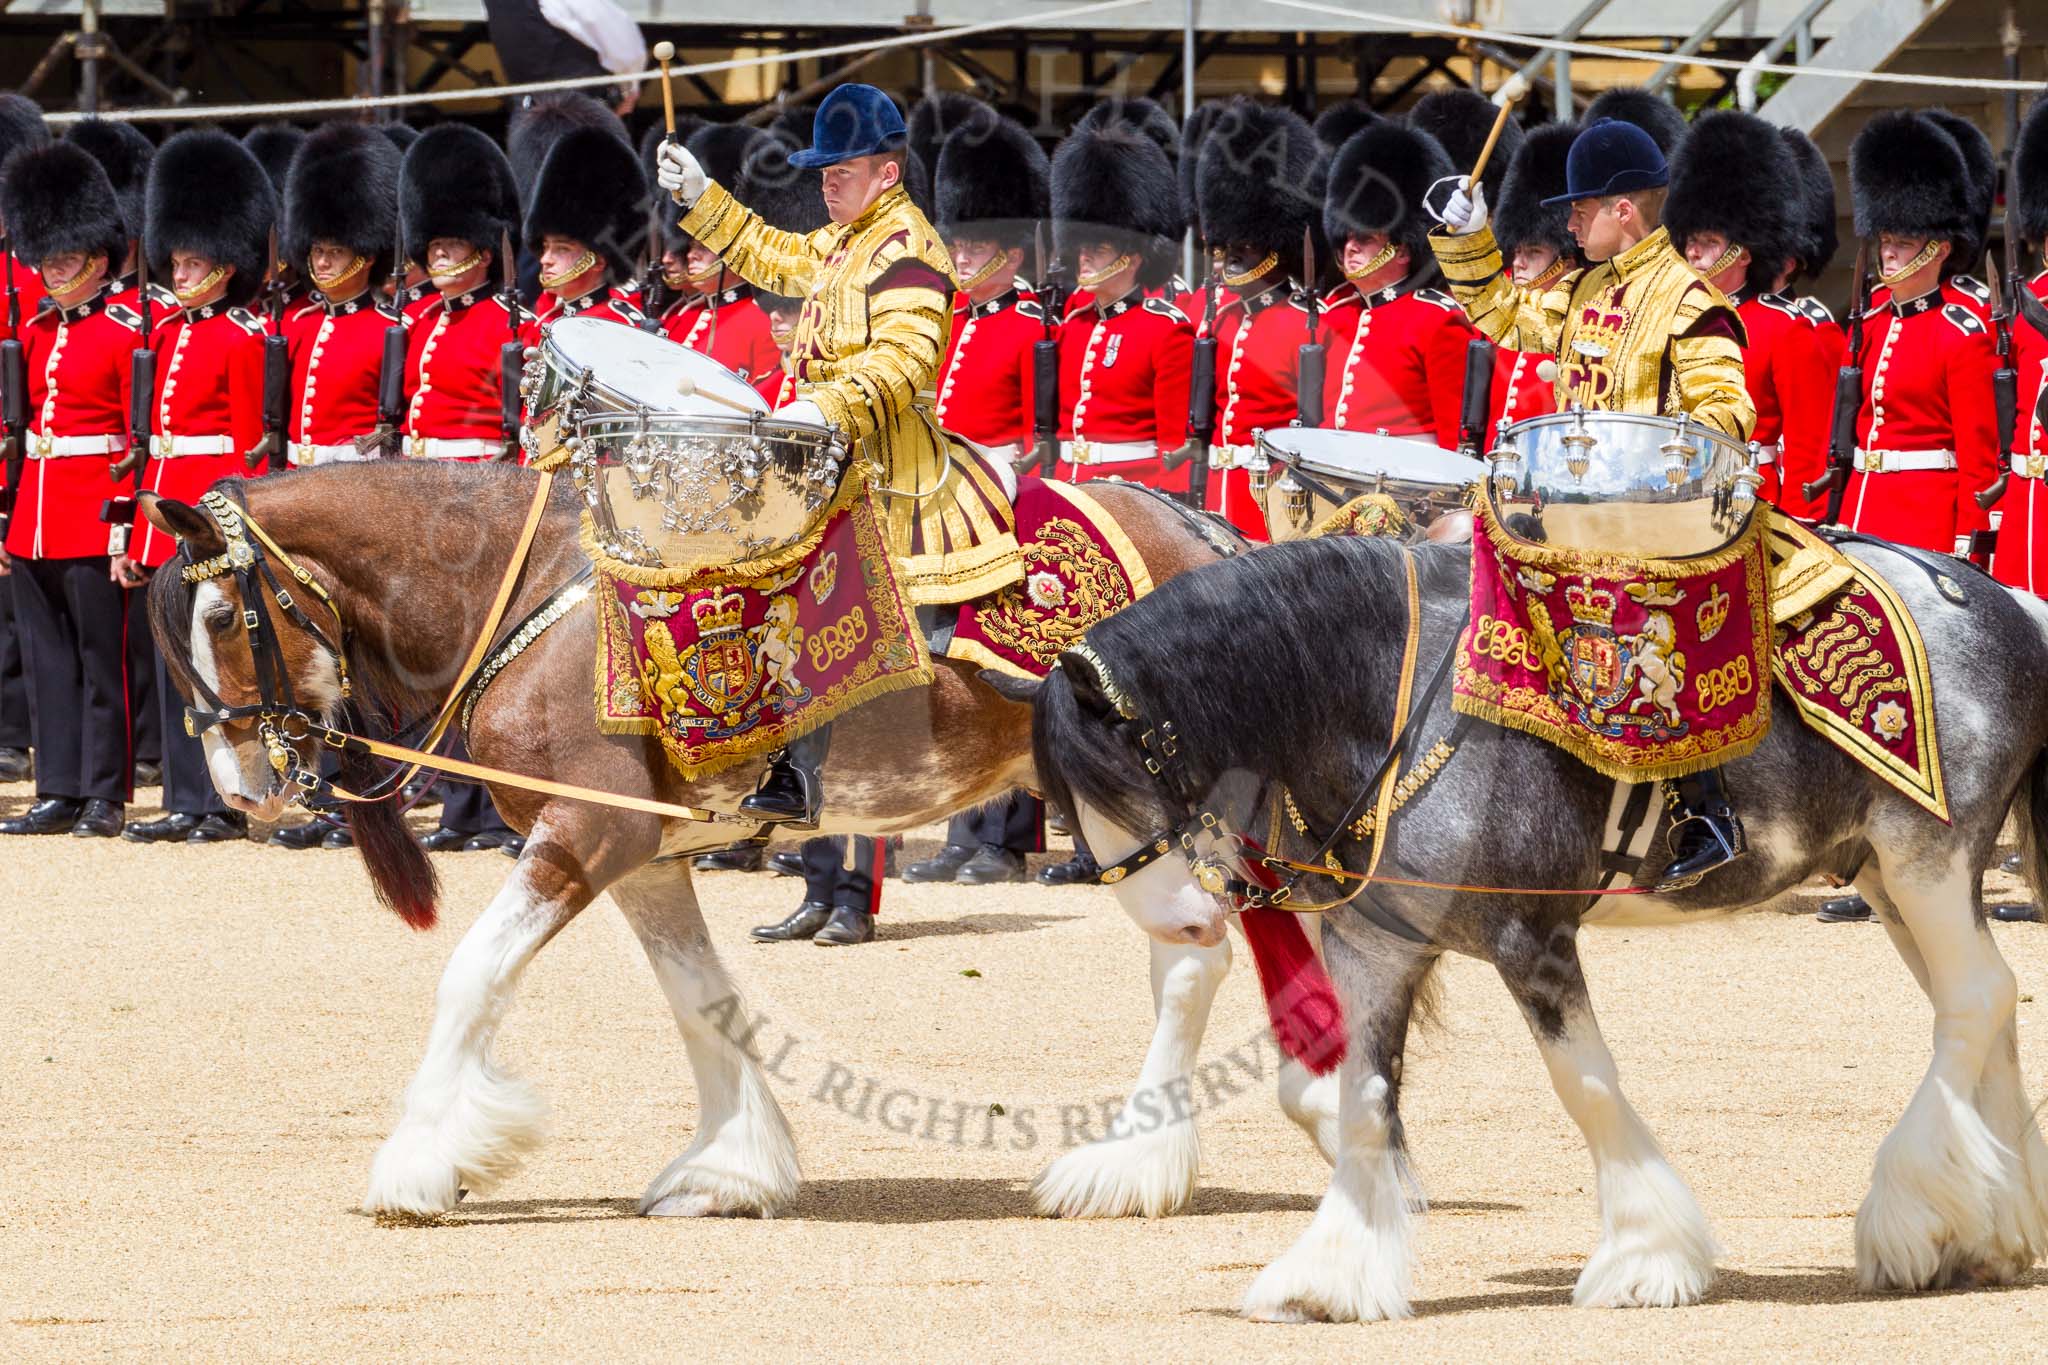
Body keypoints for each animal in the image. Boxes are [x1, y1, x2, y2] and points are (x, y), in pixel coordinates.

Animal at [139, 461, 1342, 1221]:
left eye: (223, 619)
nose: (244, 790)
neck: (534, 594)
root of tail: (1204, 530)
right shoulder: (646, 851)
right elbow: (699, 1000)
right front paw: (729, 1168)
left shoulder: (586, 830)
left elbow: (472, 975)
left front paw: (422, 1164)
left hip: (1129, 804)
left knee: (1192, 951)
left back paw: (1132, 1166)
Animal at [1023, 530, 2048, 1321]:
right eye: (1065, 803)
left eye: (1132, 766)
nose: (1191, 926)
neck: (1392, 695)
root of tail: (2009, 604)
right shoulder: (1372, 948)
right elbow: (1363, 1100)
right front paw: (1333, 1273)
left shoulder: (1533, 940)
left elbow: (1584, 1085)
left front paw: (1644, 1255)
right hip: (1888, 878)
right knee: (1987, 1006)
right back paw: (1993, 1228)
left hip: (1925, 856)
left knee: (1974, 998)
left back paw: (1913, 1214)